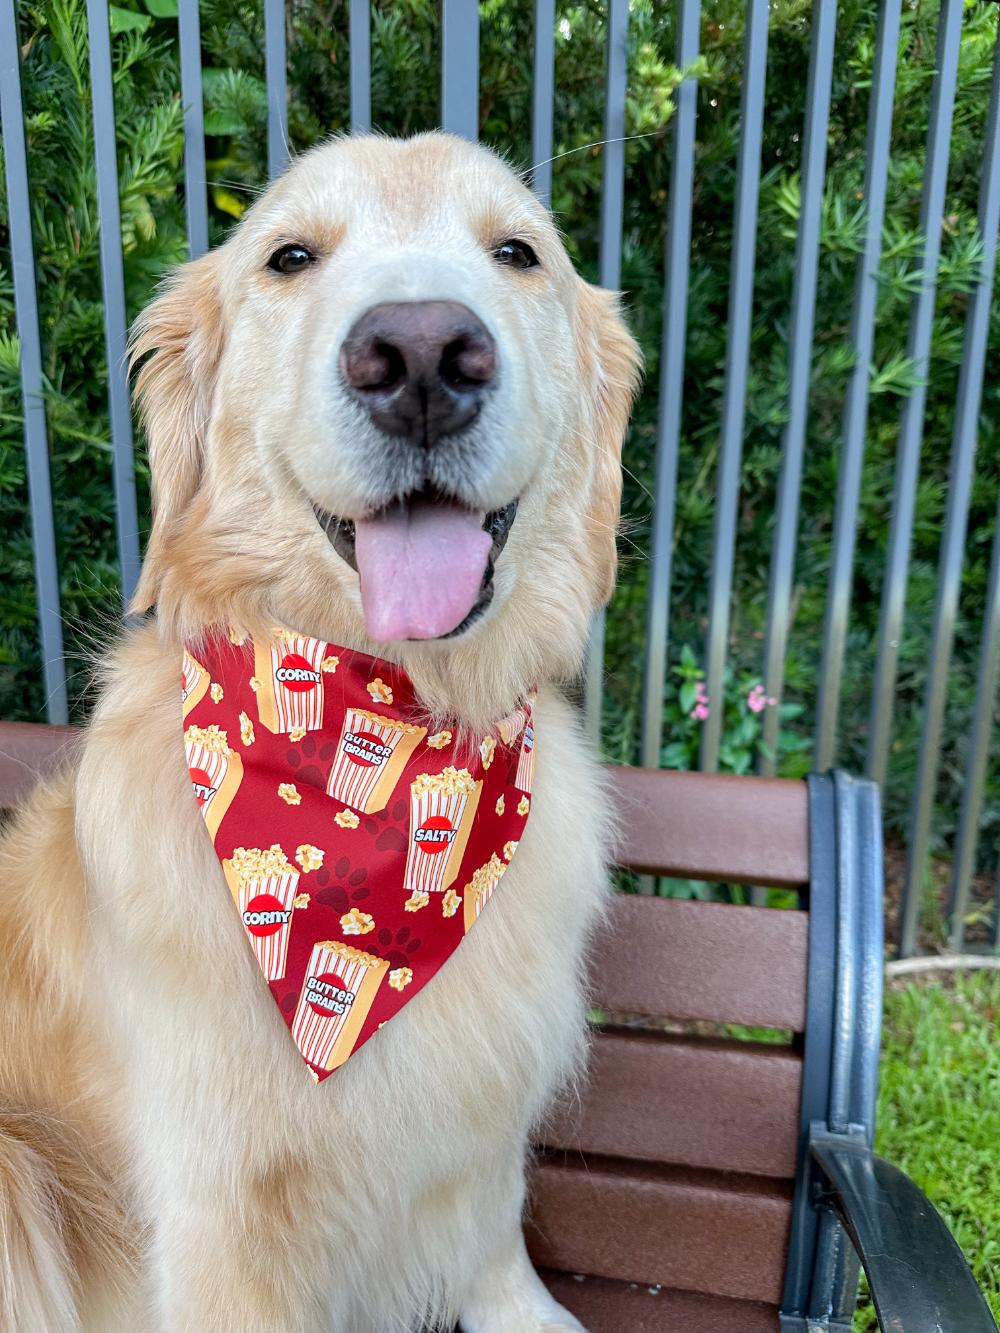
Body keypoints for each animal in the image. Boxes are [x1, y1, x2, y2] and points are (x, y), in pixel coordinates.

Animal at [0, 129, 642, 1327]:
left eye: (518, 252)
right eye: (289, 255)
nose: (423, 354)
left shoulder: (478, 1134)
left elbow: (496, 1246)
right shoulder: (217, 1221)